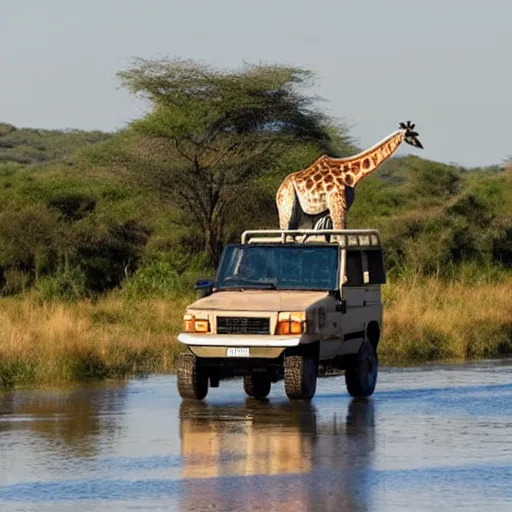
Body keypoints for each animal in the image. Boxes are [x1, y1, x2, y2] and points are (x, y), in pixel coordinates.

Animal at [276, 121, 424, 229]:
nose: (421, 146)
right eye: (412, 135)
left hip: (299, 214)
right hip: (287, 207)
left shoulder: (339, 208)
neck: (350, 176)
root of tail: (279, 190)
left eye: (416, 134)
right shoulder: (337, 205)